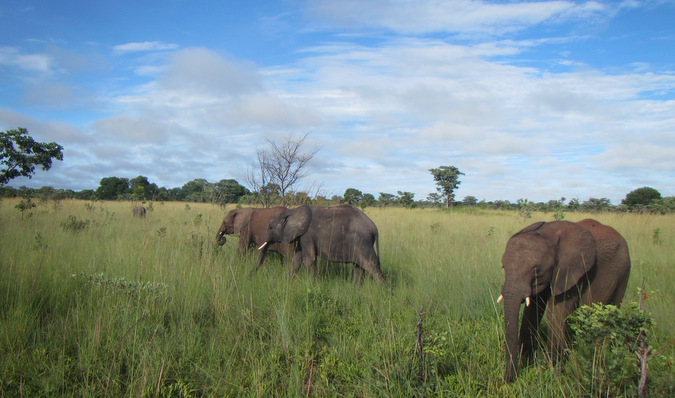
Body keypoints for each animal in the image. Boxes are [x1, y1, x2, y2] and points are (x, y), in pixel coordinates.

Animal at [255, 205, 386, 282]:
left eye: (270, 227)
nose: (251, 277)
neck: (292, 211)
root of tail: (375, 228)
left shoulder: (307, 235)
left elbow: (309, 259)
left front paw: (312, 286)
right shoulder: (302, 236)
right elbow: (297, 259)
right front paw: (287, 283)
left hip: (362, 242)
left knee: (372, 267)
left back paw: (382, 292)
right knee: (359, 268)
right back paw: (355, 291)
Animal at [496, 219, 632, 380]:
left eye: (537, 271)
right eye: (504, 267)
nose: (507, 380)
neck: (547, 234)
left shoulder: (570, 271)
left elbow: (556, 312)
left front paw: (550, 370)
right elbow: (533, 310)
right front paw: (528, 361)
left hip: (623, 270)